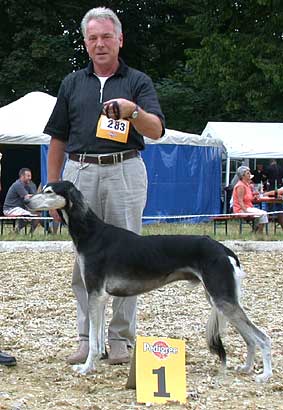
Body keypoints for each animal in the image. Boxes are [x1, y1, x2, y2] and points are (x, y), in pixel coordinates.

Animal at [25, 181, 274, 382]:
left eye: (49, 191)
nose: (26, 201)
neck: (92, 233)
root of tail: (224, 249)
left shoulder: (95, 293)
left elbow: (95, 342)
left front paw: (86, 368)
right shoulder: (100, 297)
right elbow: (98, 336)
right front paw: (93, 364)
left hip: (223, 299)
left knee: (263, 337)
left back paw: (265, 375)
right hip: (221, 299)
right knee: (250, 338)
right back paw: (247, 368)